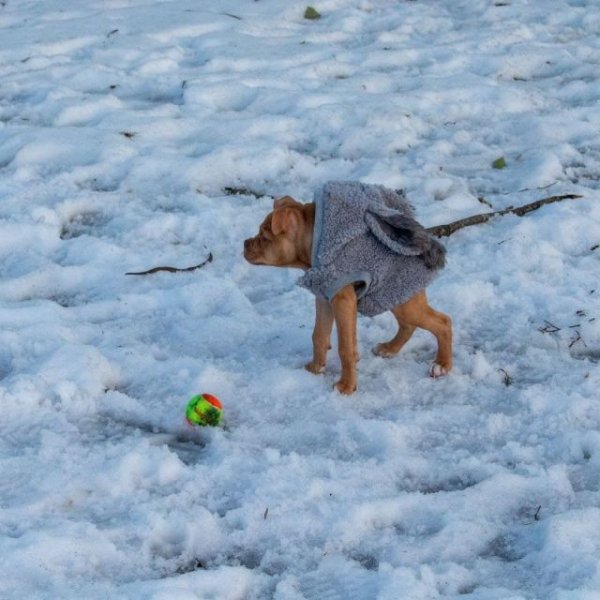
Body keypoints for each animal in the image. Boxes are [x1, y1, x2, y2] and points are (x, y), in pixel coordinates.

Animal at [243, 179, 450, 394]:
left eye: (265, 238)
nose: (244, 244)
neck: (315, 241)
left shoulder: (342, 300)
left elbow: (345, 348)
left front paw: (346, 386)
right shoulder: (325, 297)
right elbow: (319, 335)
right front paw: (315, 369)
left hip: (405, 302)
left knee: (443, 322)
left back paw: (442, 365)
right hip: (396, 297)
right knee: (408, 324)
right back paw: (389, 349)